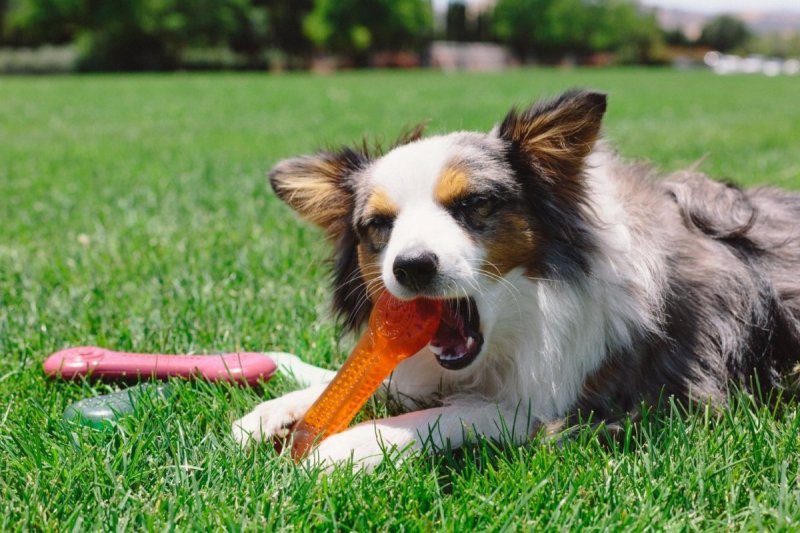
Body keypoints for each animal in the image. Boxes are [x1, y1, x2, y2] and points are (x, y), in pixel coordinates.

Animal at [231, 89, 800, 468]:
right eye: (379, 225)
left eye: (474, 204)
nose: (411, 266)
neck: (520, 322)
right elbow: (355, 381)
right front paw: (272, 413)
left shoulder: (578, 404)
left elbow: (452, 414)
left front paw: (351, 445)